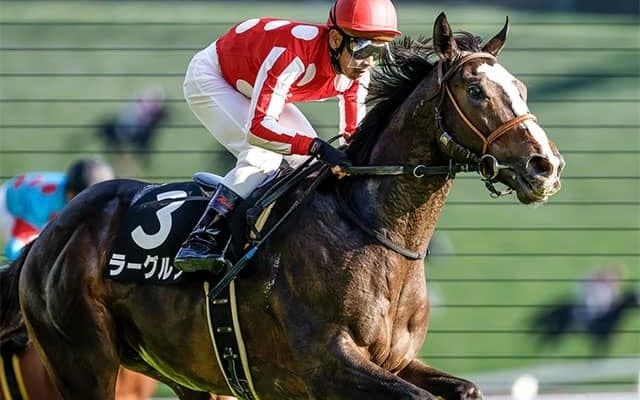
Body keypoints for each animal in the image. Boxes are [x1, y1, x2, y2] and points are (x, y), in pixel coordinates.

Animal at [1, 13, 563, 400]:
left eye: (520, 88)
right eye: (475, 90)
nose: (546, 165)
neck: (374, 233)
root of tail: (49, 238)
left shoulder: (396, 360)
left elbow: (464, 388)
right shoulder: (329, 366)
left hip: (180, 371)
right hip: (82, 363)